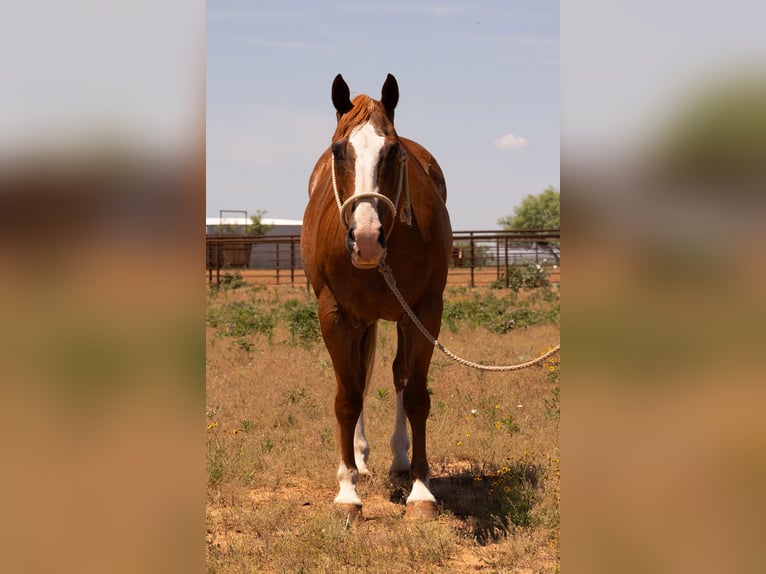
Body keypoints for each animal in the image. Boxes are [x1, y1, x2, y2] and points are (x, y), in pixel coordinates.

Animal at [302, 73, 456, 520]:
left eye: (392, 151)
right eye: (339, 150)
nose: (367, 239)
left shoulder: (424, 311)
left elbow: (417, 395)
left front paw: (421, 491)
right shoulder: (334, 314)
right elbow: (347, 398)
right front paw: (347, 492)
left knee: (398, 374)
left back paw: (399, 461)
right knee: (360, 379)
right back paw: (361, 460)